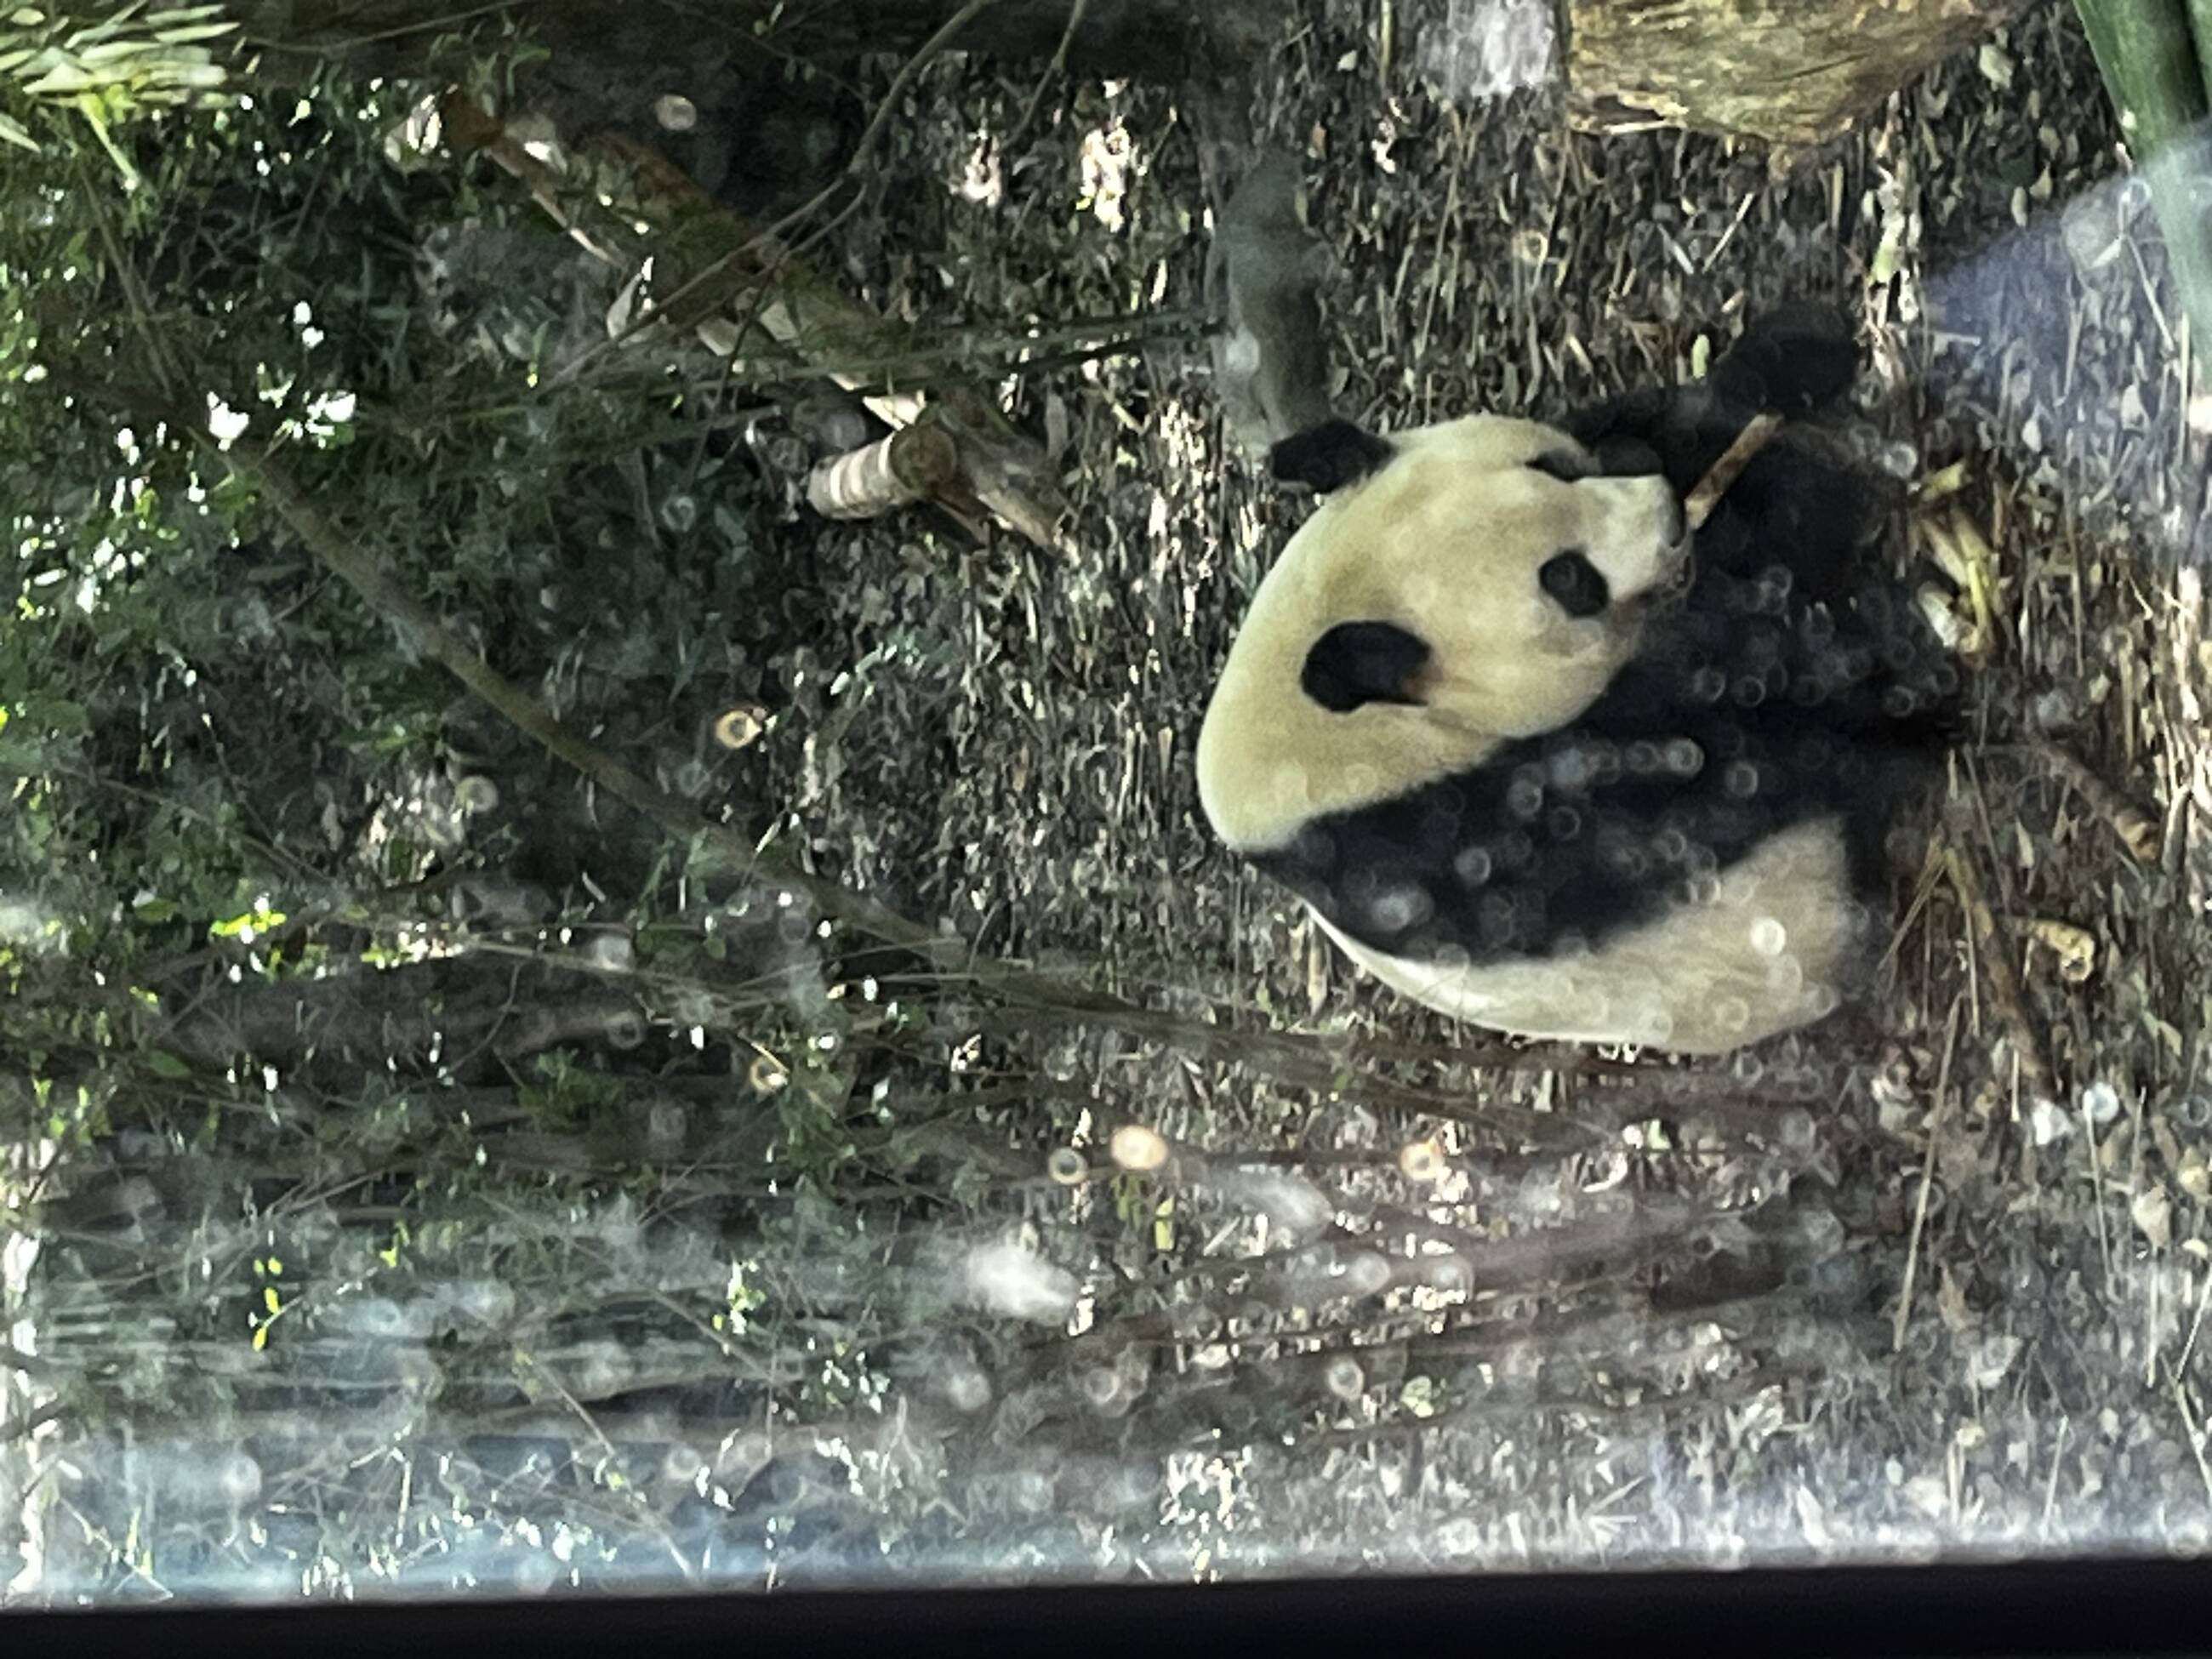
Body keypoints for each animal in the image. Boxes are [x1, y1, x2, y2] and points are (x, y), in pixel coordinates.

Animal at [1194, 304, 1961, 1056]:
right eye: (1569, 580)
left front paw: (1797, 350)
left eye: (1555, 467)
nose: (1670, 514)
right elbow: (1683, 792)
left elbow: (1649, 422)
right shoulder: (1420, 847)